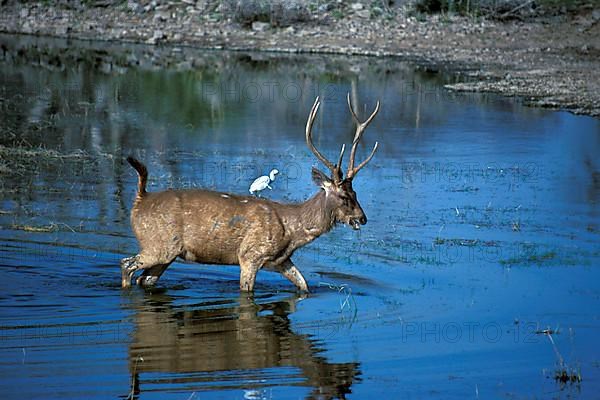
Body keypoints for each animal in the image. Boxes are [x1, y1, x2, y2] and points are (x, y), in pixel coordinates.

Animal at [122, 95, 380, 292]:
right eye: (344, 197)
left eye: (356, 192)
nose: (363, 218)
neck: (292, 230)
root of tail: (140, 200)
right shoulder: (249, 255)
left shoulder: (281, 261)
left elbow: (304, 286)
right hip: (158, 244)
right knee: (126, 264)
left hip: (167, 253)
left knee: (145, 279)